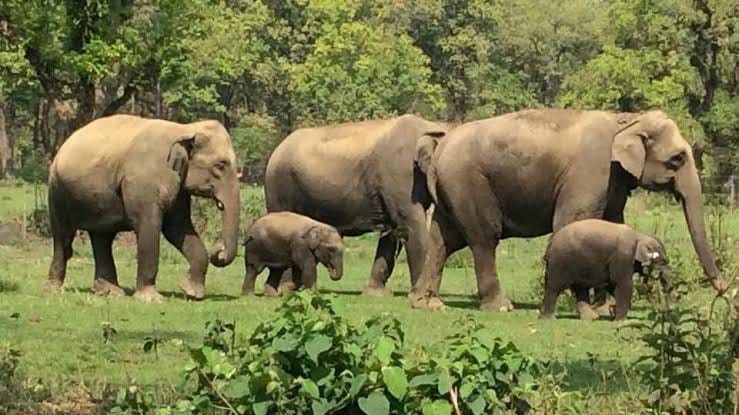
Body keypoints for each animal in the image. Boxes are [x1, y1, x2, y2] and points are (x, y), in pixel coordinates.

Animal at [44, 114, 240, 303]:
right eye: (220, 165)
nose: (219, 249)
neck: (184, 129)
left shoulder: (178, 186)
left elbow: (178, 228)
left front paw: (192, 293)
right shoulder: (143, 181)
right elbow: (149, 226)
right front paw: (150, 299)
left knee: (102, 238)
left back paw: (109, 292)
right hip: (57, 190)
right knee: (64, 237)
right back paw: (55, 290)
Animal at [264, 114, 449, 296]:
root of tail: (277, 149)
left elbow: (392, 233)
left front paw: (376, 294)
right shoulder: (402, 175)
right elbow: (411, 226)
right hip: (279, 186)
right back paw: (285, 289)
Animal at [540, 219, 671, 321]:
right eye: (663, 262)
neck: (639, 235)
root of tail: (549, 245)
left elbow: (612, 285)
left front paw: (614, 312)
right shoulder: (622, 256)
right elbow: (622, 283)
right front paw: (619, 320)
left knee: (580, 289)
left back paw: (591, 318)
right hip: (560, 262)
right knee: (554, 287)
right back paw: (549, 318)